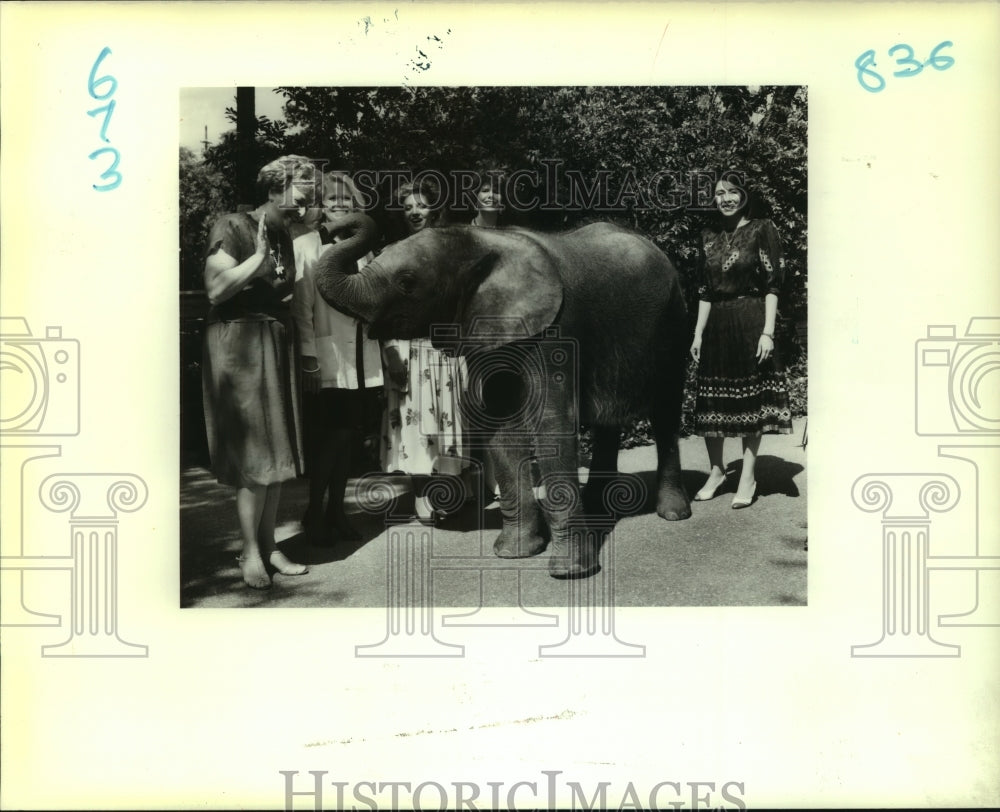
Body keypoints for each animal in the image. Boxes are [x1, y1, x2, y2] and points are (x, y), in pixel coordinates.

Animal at [316, 211, 692, 576]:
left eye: (407, 282)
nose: (329, 225)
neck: (484, 241)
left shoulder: (555, 330)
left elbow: (550, 423)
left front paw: (570, 571)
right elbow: (501, 424)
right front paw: (514, 554)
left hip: (674, 323)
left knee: (666, 412)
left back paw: (673, 513)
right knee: (608, 421)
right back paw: (598, 506)